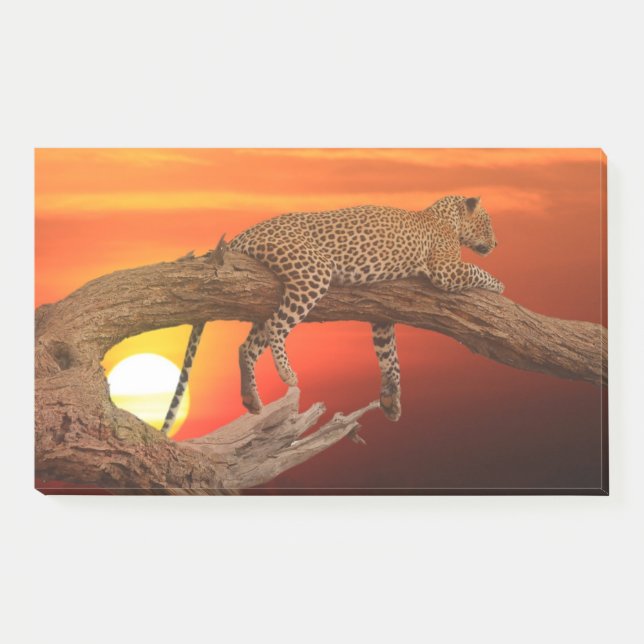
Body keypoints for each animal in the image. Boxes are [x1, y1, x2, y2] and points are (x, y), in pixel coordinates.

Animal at [161, 195, 503, 433]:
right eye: (488, 223)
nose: (497, 243)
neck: (445, 218)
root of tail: (247, 231)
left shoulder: (383, 316)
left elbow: (390, 357)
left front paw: (391, 401)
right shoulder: (447, 270)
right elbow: (477, 271)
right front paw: (499, 285)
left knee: (249, 344)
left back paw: (251, 398)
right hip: (313, 272)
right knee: (277, 328)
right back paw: (287, 374)